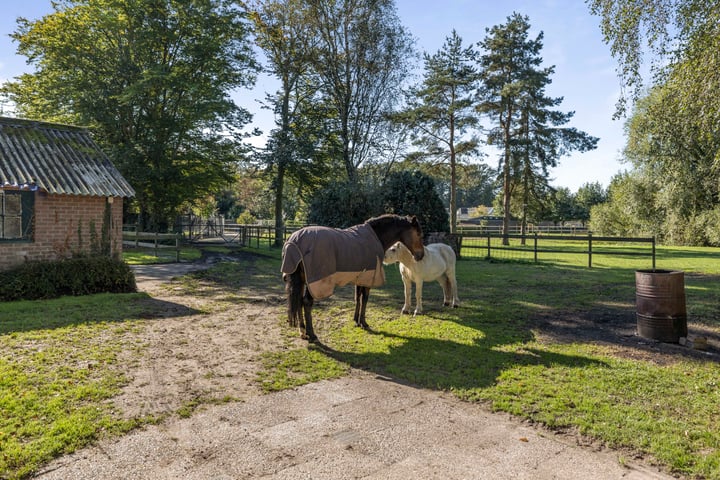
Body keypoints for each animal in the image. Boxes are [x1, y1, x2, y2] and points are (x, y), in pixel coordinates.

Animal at [282, 214, 424, 342]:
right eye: (418, 233)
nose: (420, 255)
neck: (376, 236)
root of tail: (294, 241)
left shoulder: (360, 277)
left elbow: (358, 298)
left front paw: (356, 320)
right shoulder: (368, 279)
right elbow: (364, 299)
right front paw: (363, 322)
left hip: (302, 281)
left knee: (298, 301)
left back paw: (302, 331)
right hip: (314, 283)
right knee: (306, 302)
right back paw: (311, 334)